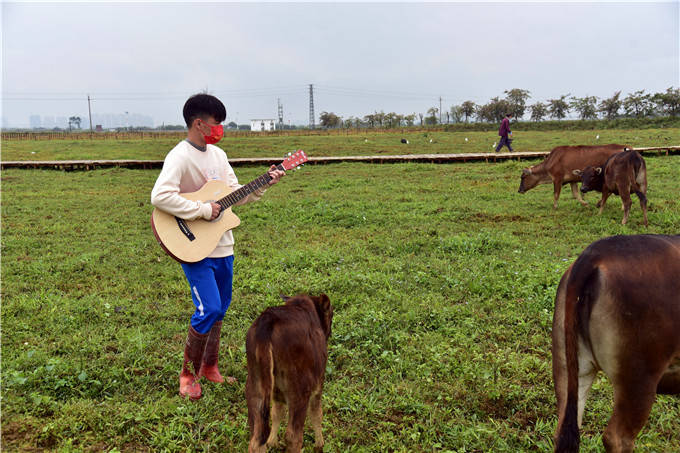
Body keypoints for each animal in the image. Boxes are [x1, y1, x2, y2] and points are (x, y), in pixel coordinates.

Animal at [246, 294, 334, 452]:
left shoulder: (277, 394)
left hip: (255, 388)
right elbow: (317, 413)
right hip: (299, 393)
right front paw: (320, 444)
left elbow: (277, 413)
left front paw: (272, 442)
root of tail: (268, 320)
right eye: (332, 314)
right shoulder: (318, 384)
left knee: (256, 437)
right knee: (293, 436)